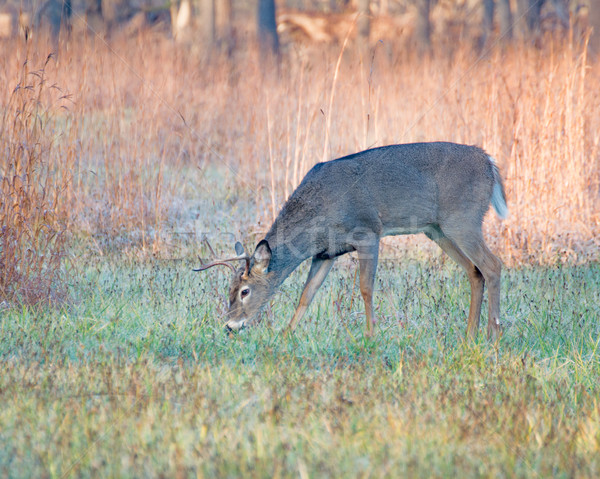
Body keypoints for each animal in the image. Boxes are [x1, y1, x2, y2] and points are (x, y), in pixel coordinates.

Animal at [197, 142, 506, 342]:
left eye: (245, 291)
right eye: (229, 289)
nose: (230, 325)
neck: (319, 211)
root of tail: (490, 163)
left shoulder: (368, 232)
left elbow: (366, 288)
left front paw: (370, 334)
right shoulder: (326, 253)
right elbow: (307, 294)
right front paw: (286, 333)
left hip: (463, 218)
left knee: (493, 265)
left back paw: (492, 334)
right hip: (437, 229)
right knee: (474, 271)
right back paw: (469, 335)